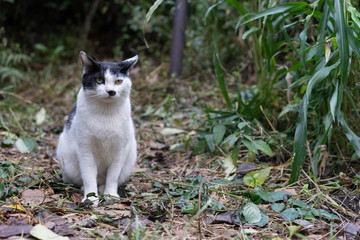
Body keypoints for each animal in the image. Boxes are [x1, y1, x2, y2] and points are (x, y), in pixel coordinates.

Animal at [56, 50, 138, 206]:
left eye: (118, 81)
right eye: (99, 80)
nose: (111, 91)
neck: (105, 113)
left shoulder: (120, 150)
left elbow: (113, 175)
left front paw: (110, 194)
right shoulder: (85, 149)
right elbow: (88, 175)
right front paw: (91, 197)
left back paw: (103, 189)